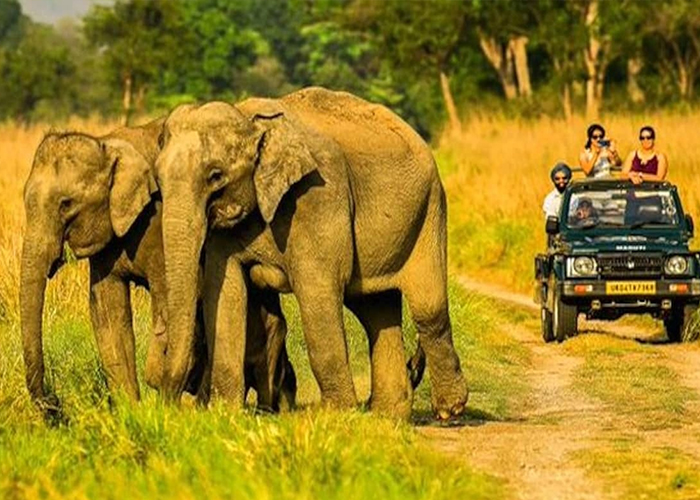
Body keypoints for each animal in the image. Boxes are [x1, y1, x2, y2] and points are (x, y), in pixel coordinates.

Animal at [20, 118, 296, 415]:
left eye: (66, 204)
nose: (55, 405)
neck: (107, 145)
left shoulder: (158, 223)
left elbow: (167, 300)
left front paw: (161, 390)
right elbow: (107, 312)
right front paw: (130, 412)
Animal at [155, 87, 466, 420]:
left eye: (215, 176)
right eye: (157, 180)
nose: (171, 404)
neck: (249, 118)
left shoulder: (318, 195)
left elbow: (317, 293)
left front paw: (337, 415)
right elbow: (225, 293)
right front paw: (226, 413)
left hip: (430, 209)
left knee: (427, 308)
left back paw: (448, 409)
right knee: (375, 311)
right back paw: (387, 416)